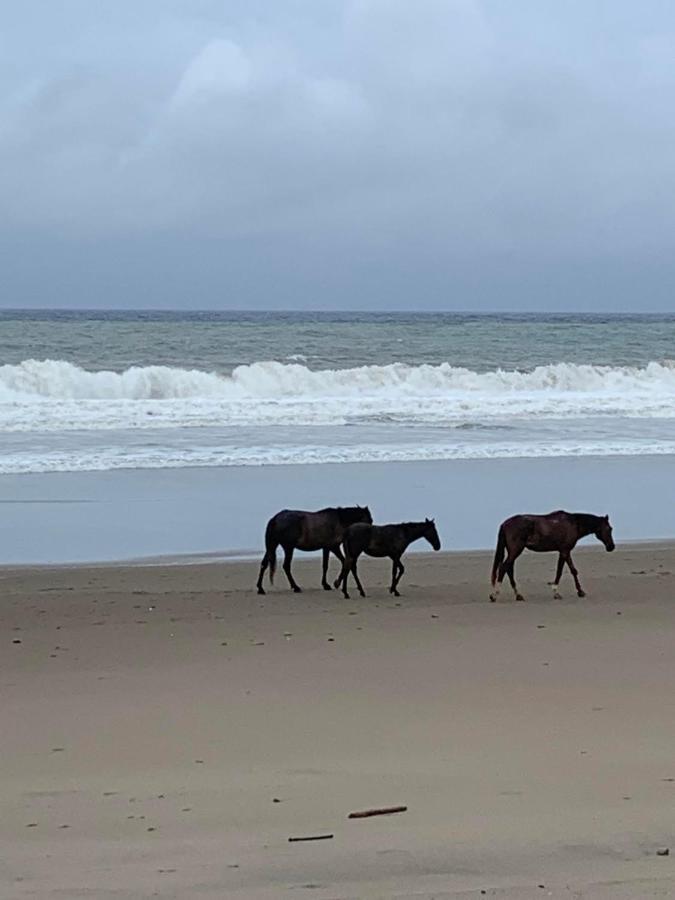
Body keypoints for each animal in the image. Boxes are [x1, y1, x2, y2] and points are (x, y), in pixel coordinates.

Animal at [488, 510, 616, 600]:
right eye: (609, 528)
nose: (611, 547)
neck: (573, 523)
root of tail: (505, 524)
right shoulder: (565, 551)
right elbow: (563, 571)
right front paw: (558, 592)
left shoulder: (564, 551)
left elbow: (570, 570)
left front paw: (578, 591)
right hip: (515, 550)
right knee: (504, 568)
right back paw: (494, 595)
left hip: (513, 552)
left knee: (509, 569)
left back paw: (518, 595)